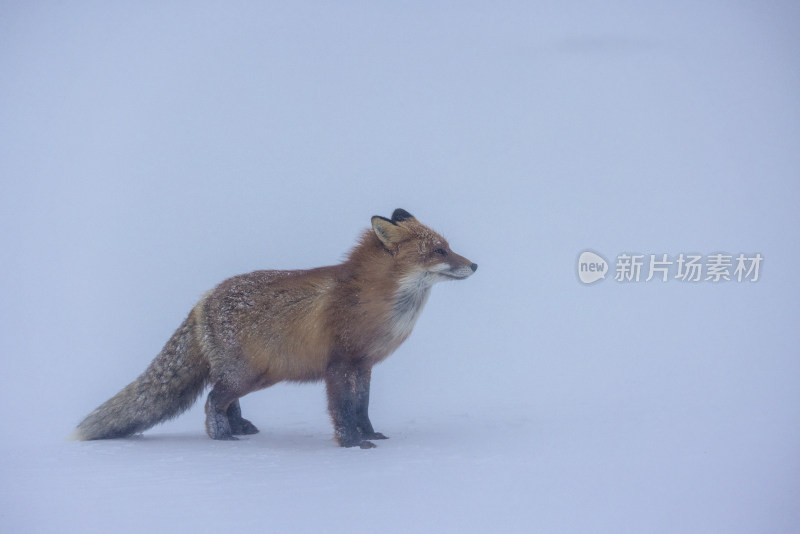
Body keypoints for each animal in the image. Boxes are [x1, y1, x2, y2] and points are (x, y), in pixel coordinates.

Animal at [72, 208, 476, 448]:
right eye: (439, 251)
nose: (474, 265)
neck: (374, 301)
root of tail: (204, 298)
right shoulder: (339, 365)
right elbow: (343, 409)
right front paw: (351, 444)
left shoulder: (363, 366)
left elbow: (362, 407)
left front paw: (371, 434)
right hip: (249, 374)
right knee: (212, 399)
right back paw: (221, 437)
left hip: (253, 374)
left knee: (224, 398)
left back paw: (237, 428)